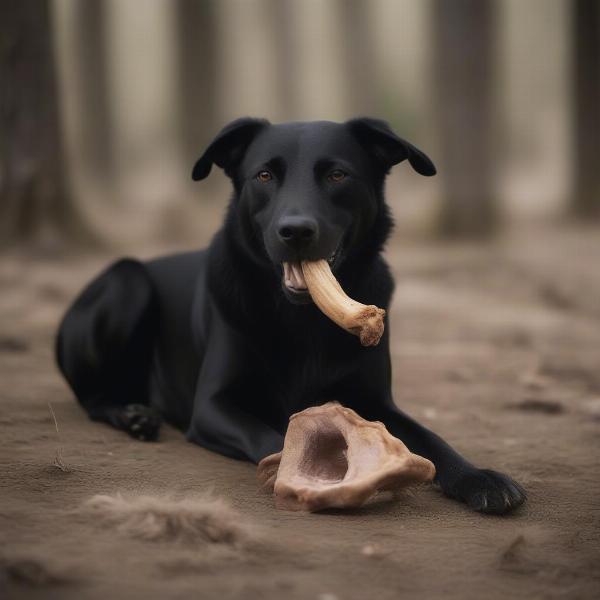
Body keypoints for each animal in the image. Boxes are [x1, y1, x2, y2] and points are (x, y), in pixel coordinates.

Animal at [56, 118, 524, 516]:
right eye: (264, 176)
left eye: (337, 175)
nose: (295, 231)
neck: (304, 319)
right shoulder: (212, 405)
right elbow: (278, 434)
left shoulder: (376, 400)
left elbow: (433, 439)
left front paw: (480, 477)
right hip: (127, 281)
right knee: (93, 395)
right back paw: (133, 415)